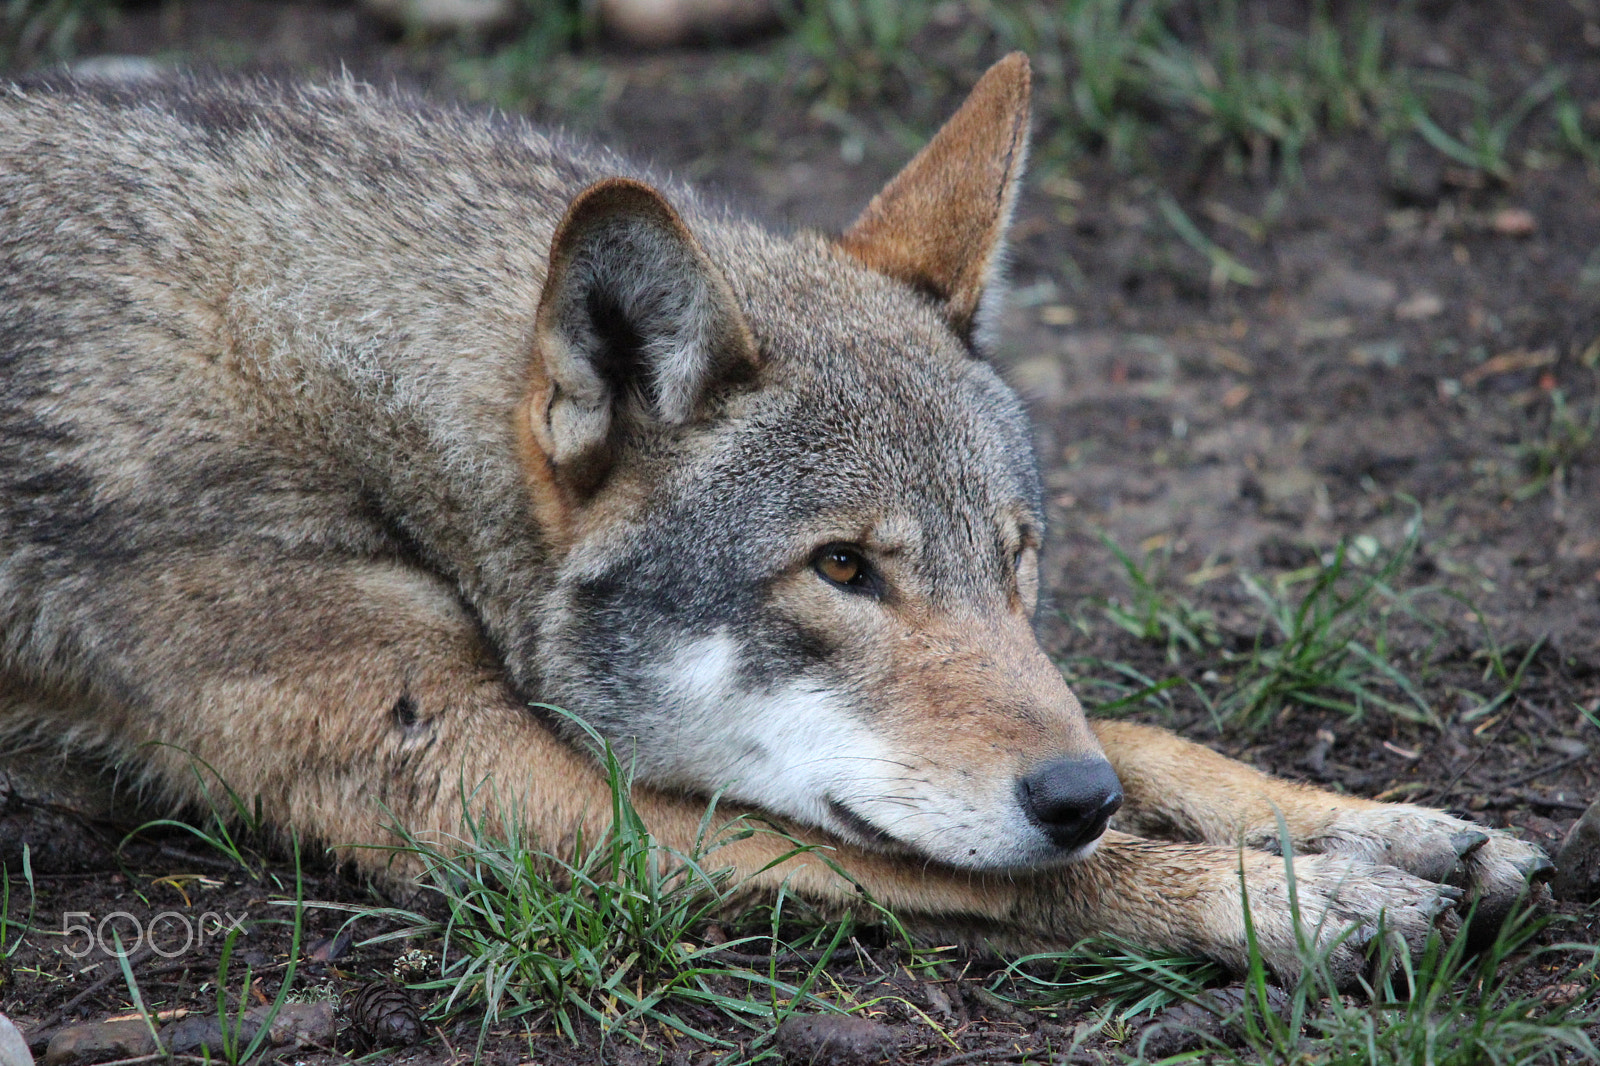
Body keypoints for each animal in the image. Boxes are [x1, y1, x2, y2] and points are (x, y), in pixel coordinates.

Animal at [0, 55, 1549, 983]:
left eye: (1017, 560)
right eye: (842, 568)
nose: (1073, 799)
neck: (331, 383)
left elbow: (1140, 732)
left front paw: (1383, 826)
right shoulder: (486, 791)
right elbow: (952, 869)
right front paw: (1285, 899)